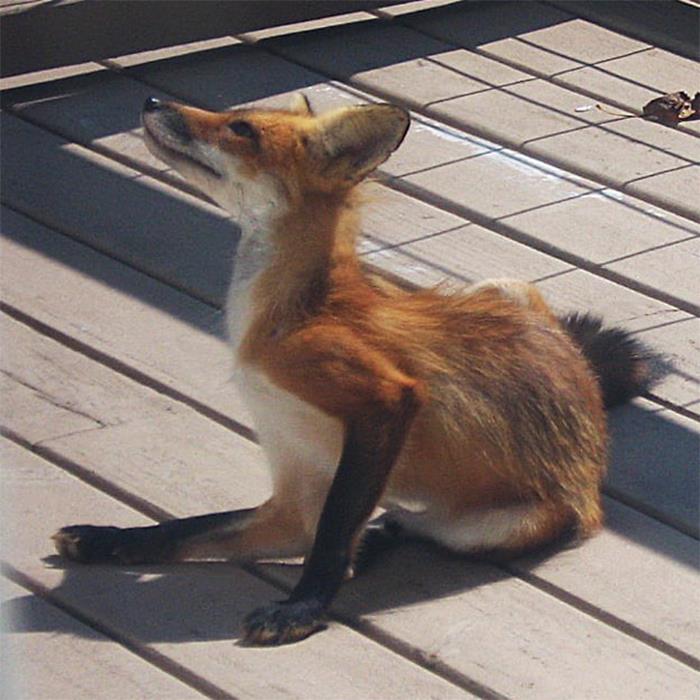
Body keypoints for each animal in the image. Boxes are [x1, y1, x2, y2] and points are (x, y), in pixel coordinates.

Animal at [53, 92, 656, 646]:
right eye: (232, 115)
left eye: (241, 129)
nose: (153, 100)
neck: (283, 315)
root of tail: (588, 405)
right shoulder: (292, 499)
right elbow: (188, 529)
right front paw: (110, 539)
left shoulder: (384, 399)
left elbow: (332, 533)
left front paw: (302, 608)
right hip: (504, 286)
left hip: (497, 525)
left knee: (410, 526)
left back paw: (372, 545)